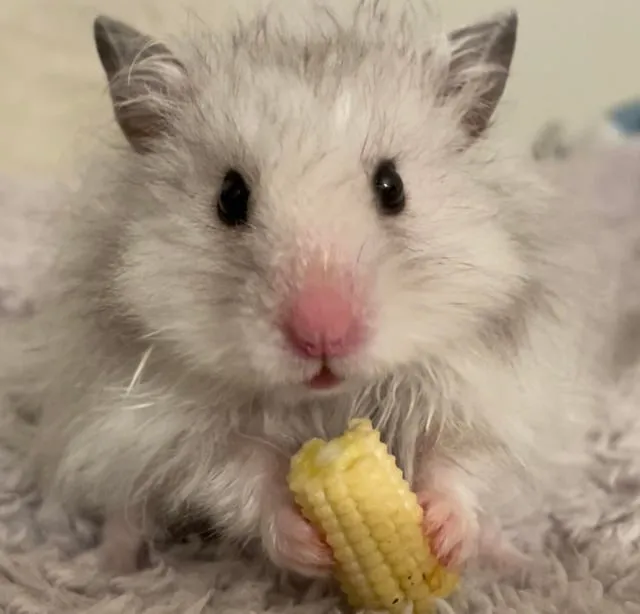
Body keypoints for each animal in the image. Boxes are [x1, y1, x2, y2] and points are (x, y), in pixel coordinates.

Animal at [14, 0, 617, 579]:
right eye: (230, 197)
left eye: (392, 186)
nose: (322, 338)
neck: (326, 402)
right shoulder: (171, 427)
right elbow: (238, 476)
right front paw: (308, 548)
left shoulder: (488, 393)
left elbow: (458, 459)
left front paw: (443, 532)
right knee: (127, 508)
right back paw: (106, 568)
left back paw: (516, 562)